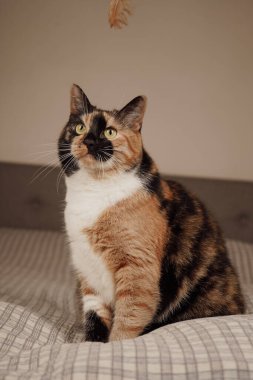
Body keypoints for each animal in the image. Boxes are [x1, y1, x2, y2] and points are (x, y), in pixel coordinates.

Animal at [57, 84, 245, 342]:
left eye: (110, 132)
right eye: (80, 127)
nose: (90, 141)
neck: (92, 191)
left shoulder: (138, 268)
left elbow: (128, 320)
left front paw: (116, 345)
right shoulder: (87, 269)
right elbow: (94, 318)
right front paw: (90, 345)